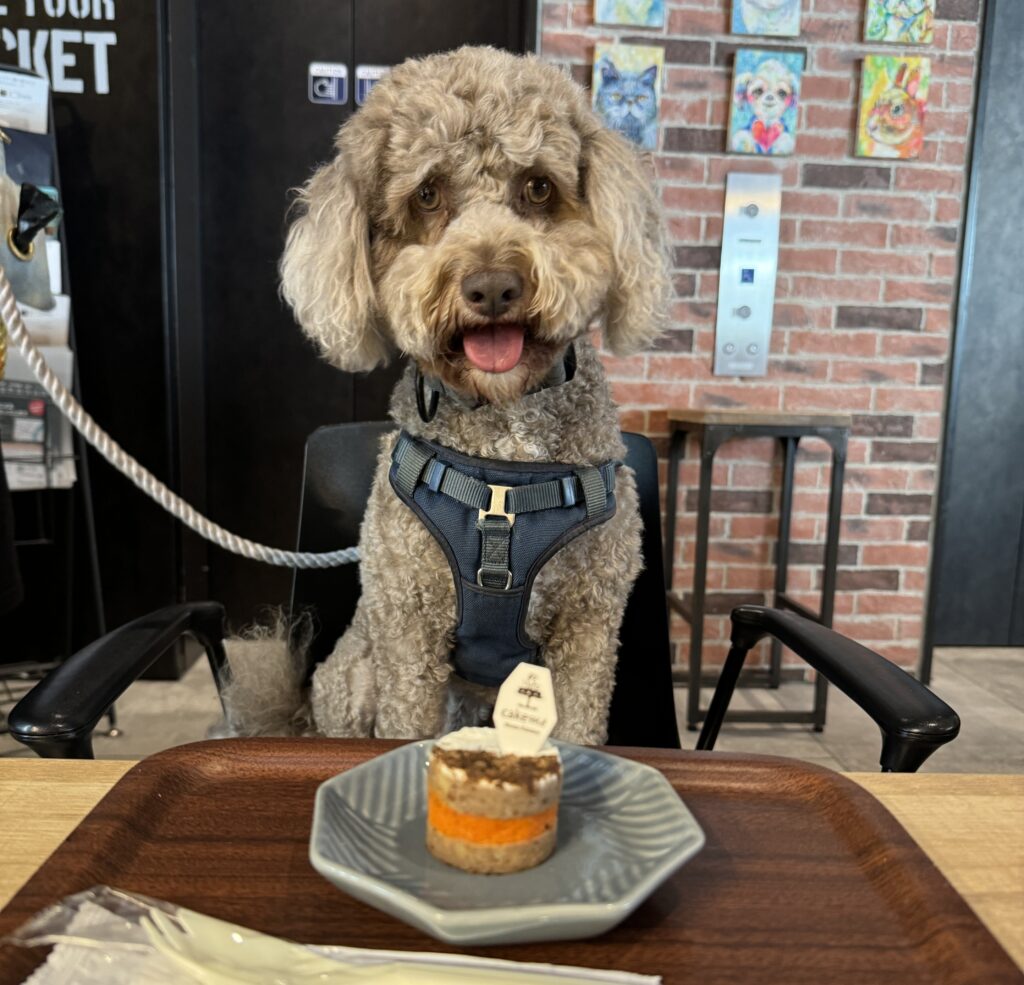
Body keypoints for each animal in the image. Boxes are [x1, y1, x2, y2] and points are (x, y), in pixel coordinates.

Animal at [276, 44, 667, 737]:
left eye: (537, 187)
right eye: (428, 195)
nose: (492, 285)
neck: (503, 463)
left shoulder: (591, 621)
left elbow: (580, 723)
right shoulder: (407, 624)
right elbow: (404, 722)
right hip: (354, 676)